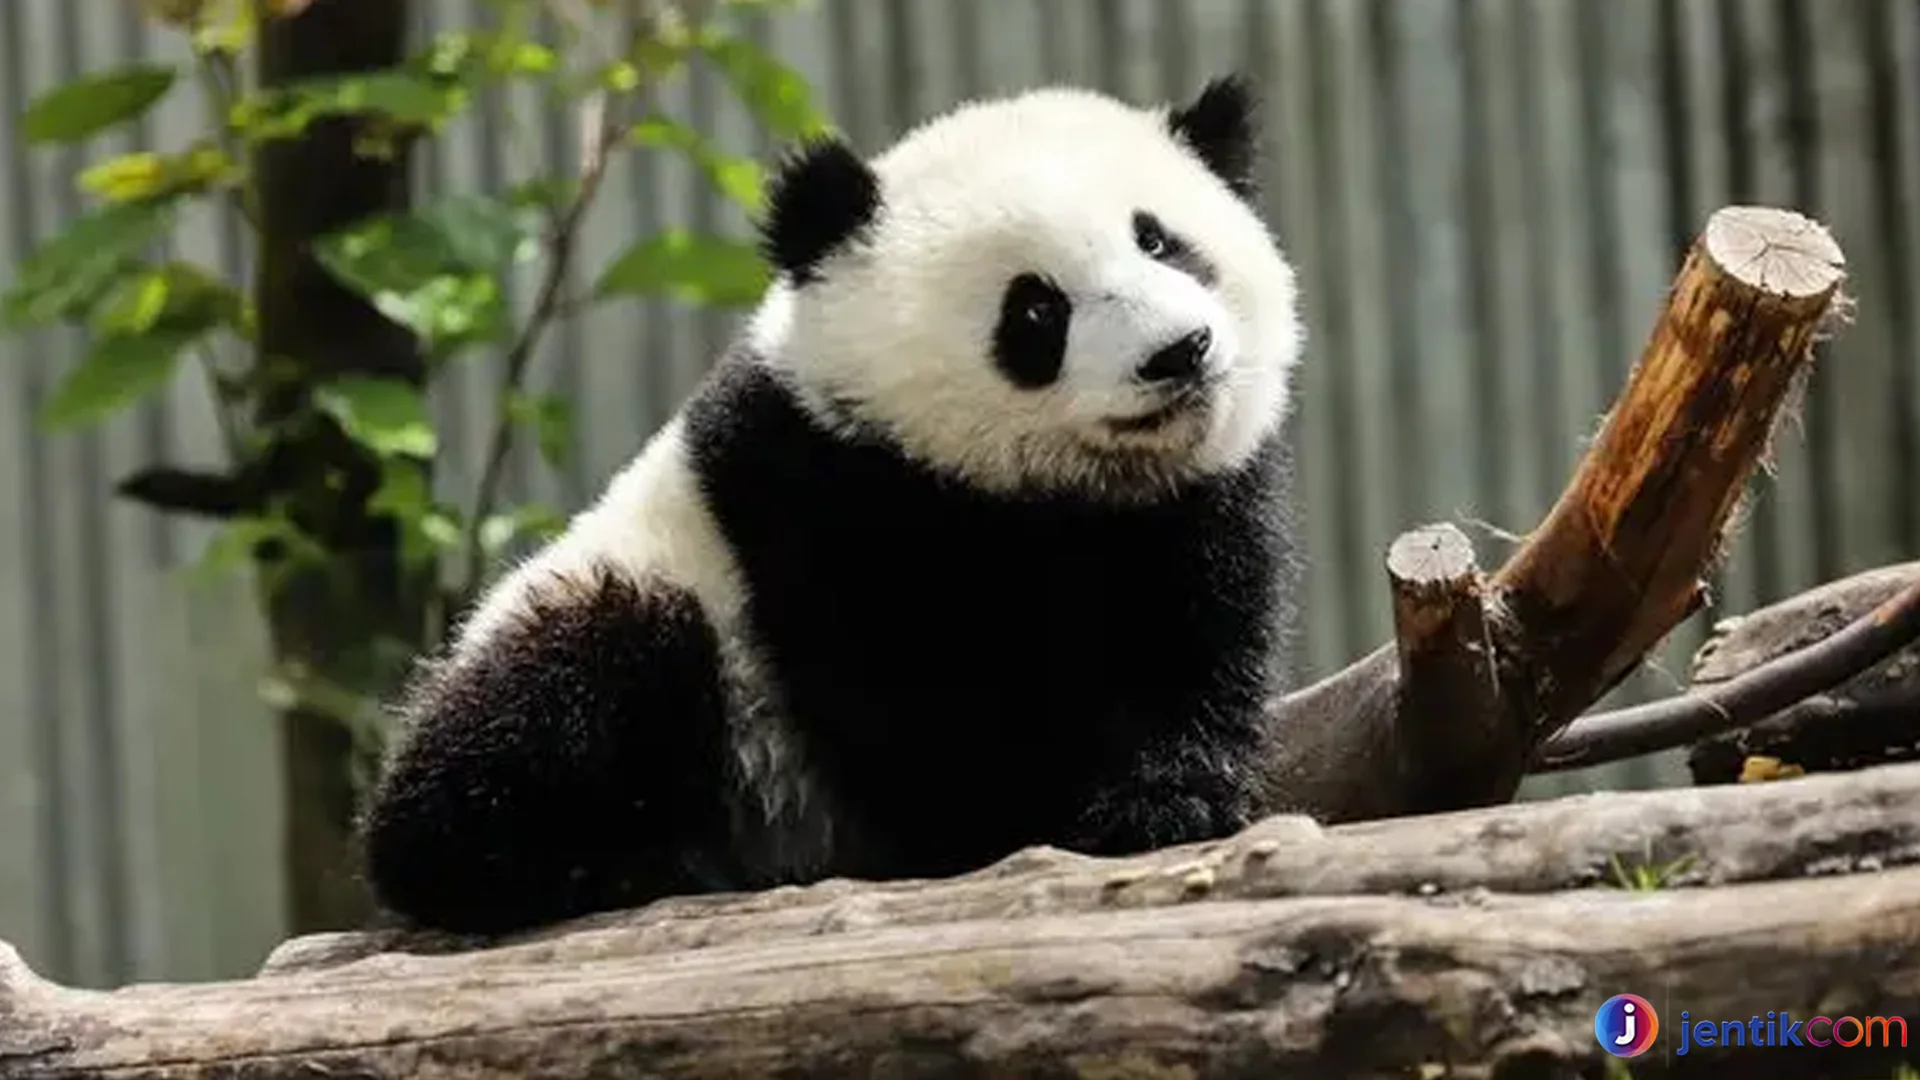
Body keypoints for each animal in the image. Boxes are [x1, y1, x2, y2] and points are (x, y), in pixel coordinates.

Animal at [360, 73, 1307, 936]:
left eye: (1161, 242)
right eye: (1037, 309)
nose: (1178, 352)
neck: (1049, 493)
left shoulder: (1189, 509)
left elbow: (1188, 646)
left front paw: (1168, 800)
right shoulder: (820, 494)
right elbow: (913, 700)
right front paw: (1015, 815)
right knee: (571, 683)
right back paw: (600, 863)